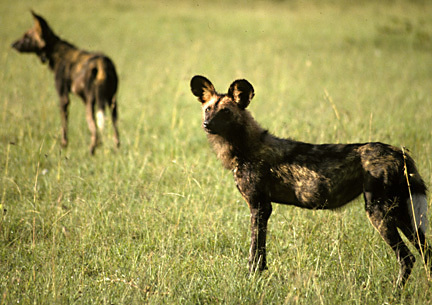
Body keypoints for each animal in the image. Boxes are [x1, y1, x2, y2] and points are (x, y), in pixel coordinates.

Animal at [12, 11, 120, 154]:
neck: (56, 52)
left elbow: (64, 123)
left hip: (91, 103)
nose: (13, 44)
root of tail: (101, 62)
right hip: (111, 102)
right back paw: (114, 148)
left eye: (27, 37)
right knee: (114, 128)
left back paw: (91, 151)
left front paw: (63, 145)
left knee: (95, 129)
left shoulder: (63, 97)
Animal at [191, 75, 432, 286]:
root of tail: (398, 153)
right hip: (401, 212)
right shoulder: (262, 207)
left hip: (379, 211)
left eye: (225, 111)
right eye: (208, 109)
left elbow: (255, 253)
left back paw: (394, 294)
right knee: (426, 252)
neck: (245, 147)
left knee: (407, 258)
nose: (206, 124)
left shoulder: (259, 206)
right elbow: (259, 252)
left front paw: (251, 280)